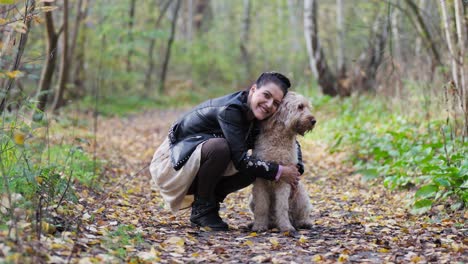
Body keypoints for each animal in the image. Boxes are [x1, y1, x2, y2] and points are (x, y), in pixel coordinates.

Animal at [249, 92, 314, 232]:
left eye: (308, 107)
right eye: (300, 106)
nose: (313, 121)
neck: (280, 138)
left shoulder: (286, 179)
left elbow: (282, 207)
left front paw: (286, 226)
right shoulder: (260, 180)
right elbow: (261, 207)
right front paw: (259, 225)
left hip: (301, 196)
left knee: (300, 214)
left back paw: (303, 223)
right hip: (251, 199)